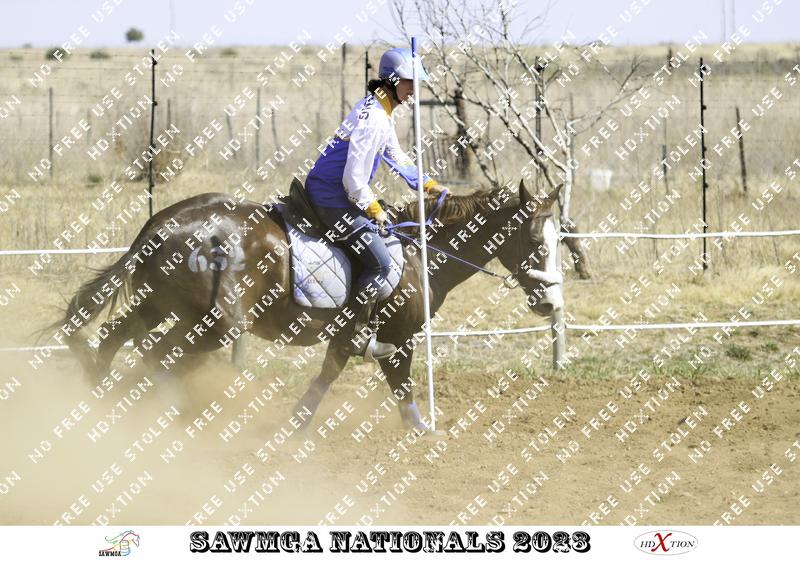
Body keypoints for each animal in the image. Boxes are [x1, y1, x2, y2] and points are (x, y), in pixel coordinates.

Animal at [54, 178, 563, 432]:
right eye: (537, 241)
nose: (551, 301)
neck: (420, 252)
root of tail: (163, 223)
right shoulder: (397, 338)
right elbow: (401, 387)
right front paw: (422, 429)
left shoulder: (347, 338)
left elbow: (327, 376)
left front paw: (297, 424)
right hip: (213, 325)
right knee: (156, 354)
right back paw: (163, 409)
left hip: (160, 307)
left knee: (113, 337)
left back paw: (99, 401)